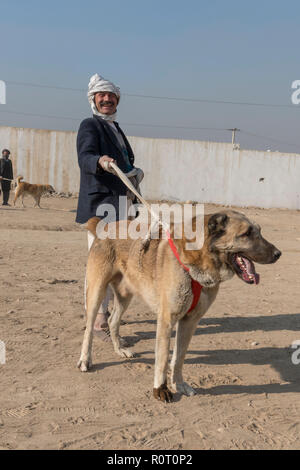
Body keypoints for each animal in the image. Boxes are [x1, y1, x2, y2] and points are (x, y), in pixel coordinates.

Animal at [77, 211, 282, 402]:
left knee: (113, 320)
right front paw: (160, 389)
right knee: (89, 329)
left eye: (260, 231)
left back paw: (119, 349)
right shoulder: (166, 320)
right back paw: (85, 360)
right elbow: (162, 359)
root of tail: (105, 227)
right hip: (96, 292)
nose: (278, 254)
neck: (196, 261)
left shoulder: (190, 321)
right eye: (246, 233)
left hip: (125, 294)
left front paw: (179, 384)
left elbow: (178, 357)